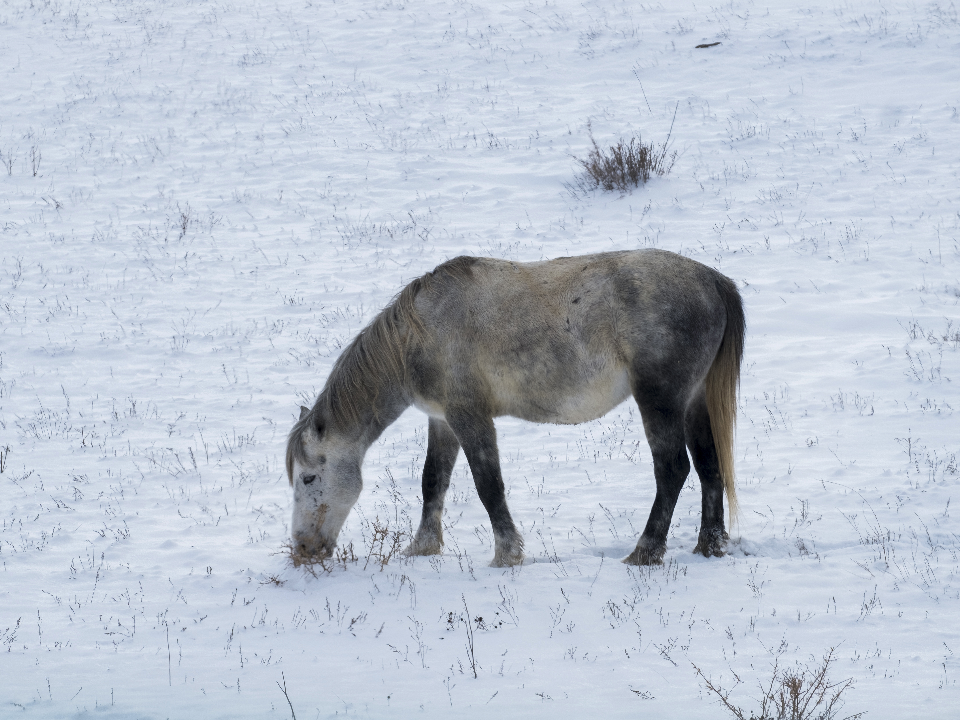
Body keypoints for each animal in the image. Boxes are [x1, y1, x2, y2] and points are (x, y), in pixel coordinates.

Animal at [288, 250, 748, 564]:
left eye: (309, 478)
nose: (304, 549)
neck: (417, 336)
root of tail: (713, 281)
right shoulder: (442, 420)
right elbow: (432, 482)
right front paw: (422, 548)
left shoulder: (469, 416)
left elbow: (488, 485)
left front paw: (506, 554)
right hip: (694, 401)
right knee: (709, 468)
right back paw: (709, 546)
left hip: (659, 400)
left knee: (672, 470)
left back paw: (645, 552)